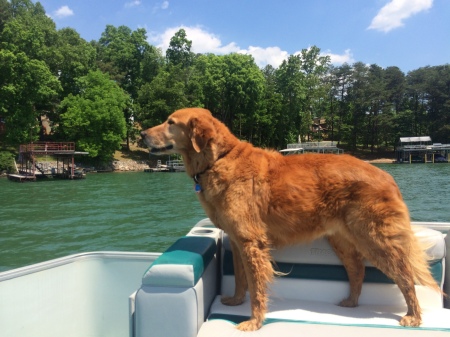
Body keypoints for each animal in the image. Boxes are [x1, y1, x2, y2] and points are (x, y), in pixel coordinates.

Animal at [141, 108, 440, 330]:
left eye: (170, 123)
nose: (142, 133)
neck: (218, 159)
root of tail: (387, 175)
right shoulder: (236, 241)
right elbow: (240, 278)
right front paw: (236, 301)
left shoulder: (251, 241)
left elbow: (256, 286)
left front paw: (253, 321)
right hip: (342, 240)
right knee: (358, 271)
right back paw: (351, 302)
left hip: (375, 238)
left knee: (405, 275)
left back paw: (413, 316)